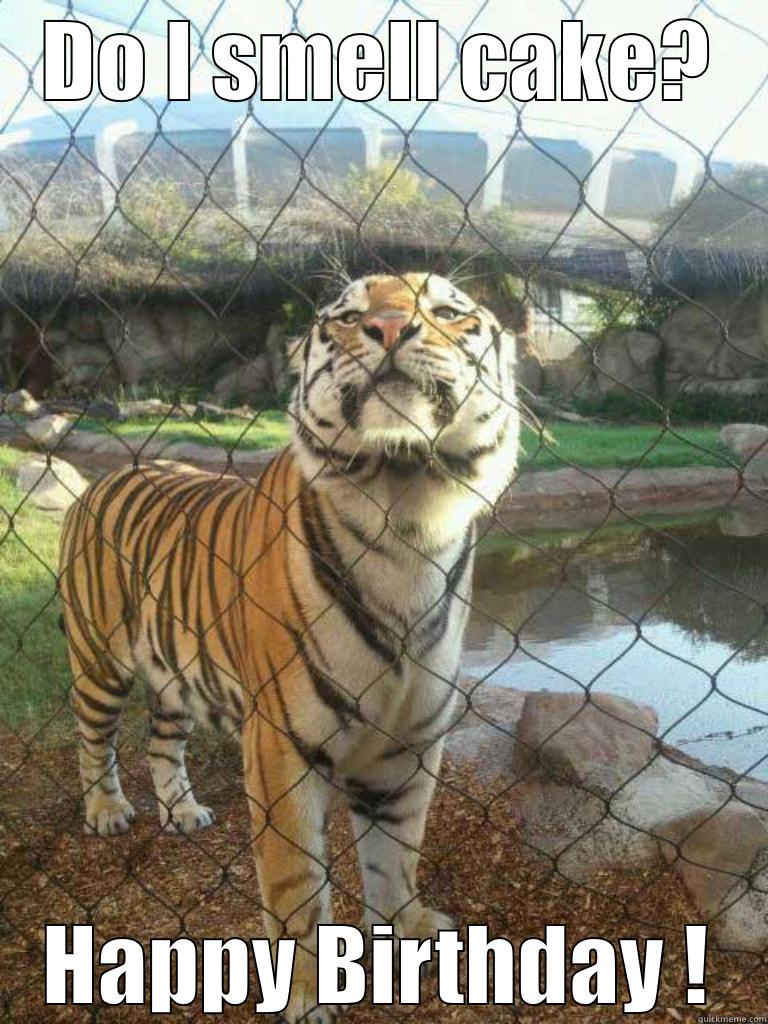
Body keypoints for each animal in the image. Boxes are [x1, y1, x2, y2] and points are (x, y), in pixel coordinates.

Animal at [58, 272, 518, 1024]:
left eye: (448, 311)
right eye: (349, 317)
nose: (391, 327)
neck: (410, 513)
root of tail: (106, 477)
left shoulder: (411, 741)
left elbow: (400, 851)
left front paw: (410, 930)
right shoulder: (281, 747)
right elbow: (296, 882)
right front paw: (302, 995)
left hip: (177, 672)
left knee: (160, 743)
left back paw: (182, 812)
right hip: (100, 660)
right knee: (93, 742)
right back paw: (105, 812)